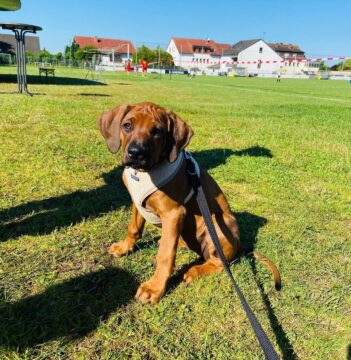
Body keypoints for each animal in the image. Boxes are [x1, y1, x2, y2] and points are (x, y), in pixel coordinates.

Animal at [98, 101, 280, 304]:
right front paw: (124, 247)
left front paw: (155, 287)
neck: (144, 173)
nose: (136, 153)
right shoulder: (137, 203)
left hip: (217, 223)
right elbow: (134, 228)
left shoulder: (173, 213)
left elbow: (165, 255)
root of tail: (239, 244)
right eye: (127, 125)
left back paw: (194, 270)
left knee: (220, 262)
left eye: (157, 131)